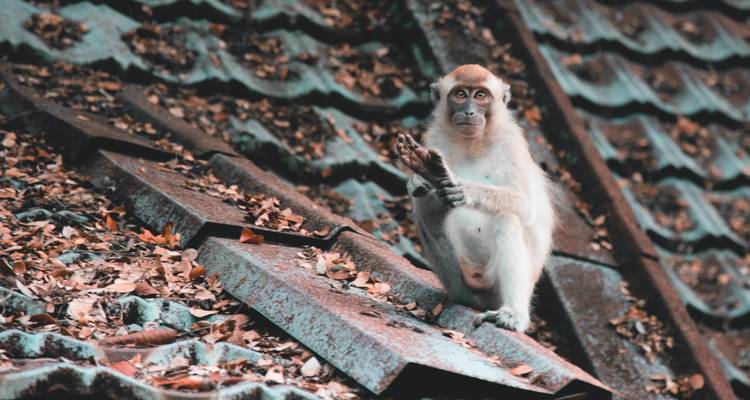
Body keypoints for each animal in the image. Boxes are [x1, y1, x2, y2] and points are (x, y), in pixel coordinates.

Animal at [395, 64, 555, 332]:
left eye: (481, 96)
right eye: (460, 94)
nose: (469, 111)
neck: (472, 143)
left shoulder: (511, 142)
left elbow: (526, 205)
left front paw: (460, 188)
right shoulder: (435, 138)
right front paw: (422, 178)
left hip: (494, 288)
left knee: (508, 220)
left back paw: (513, 314)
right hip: (457, 280)